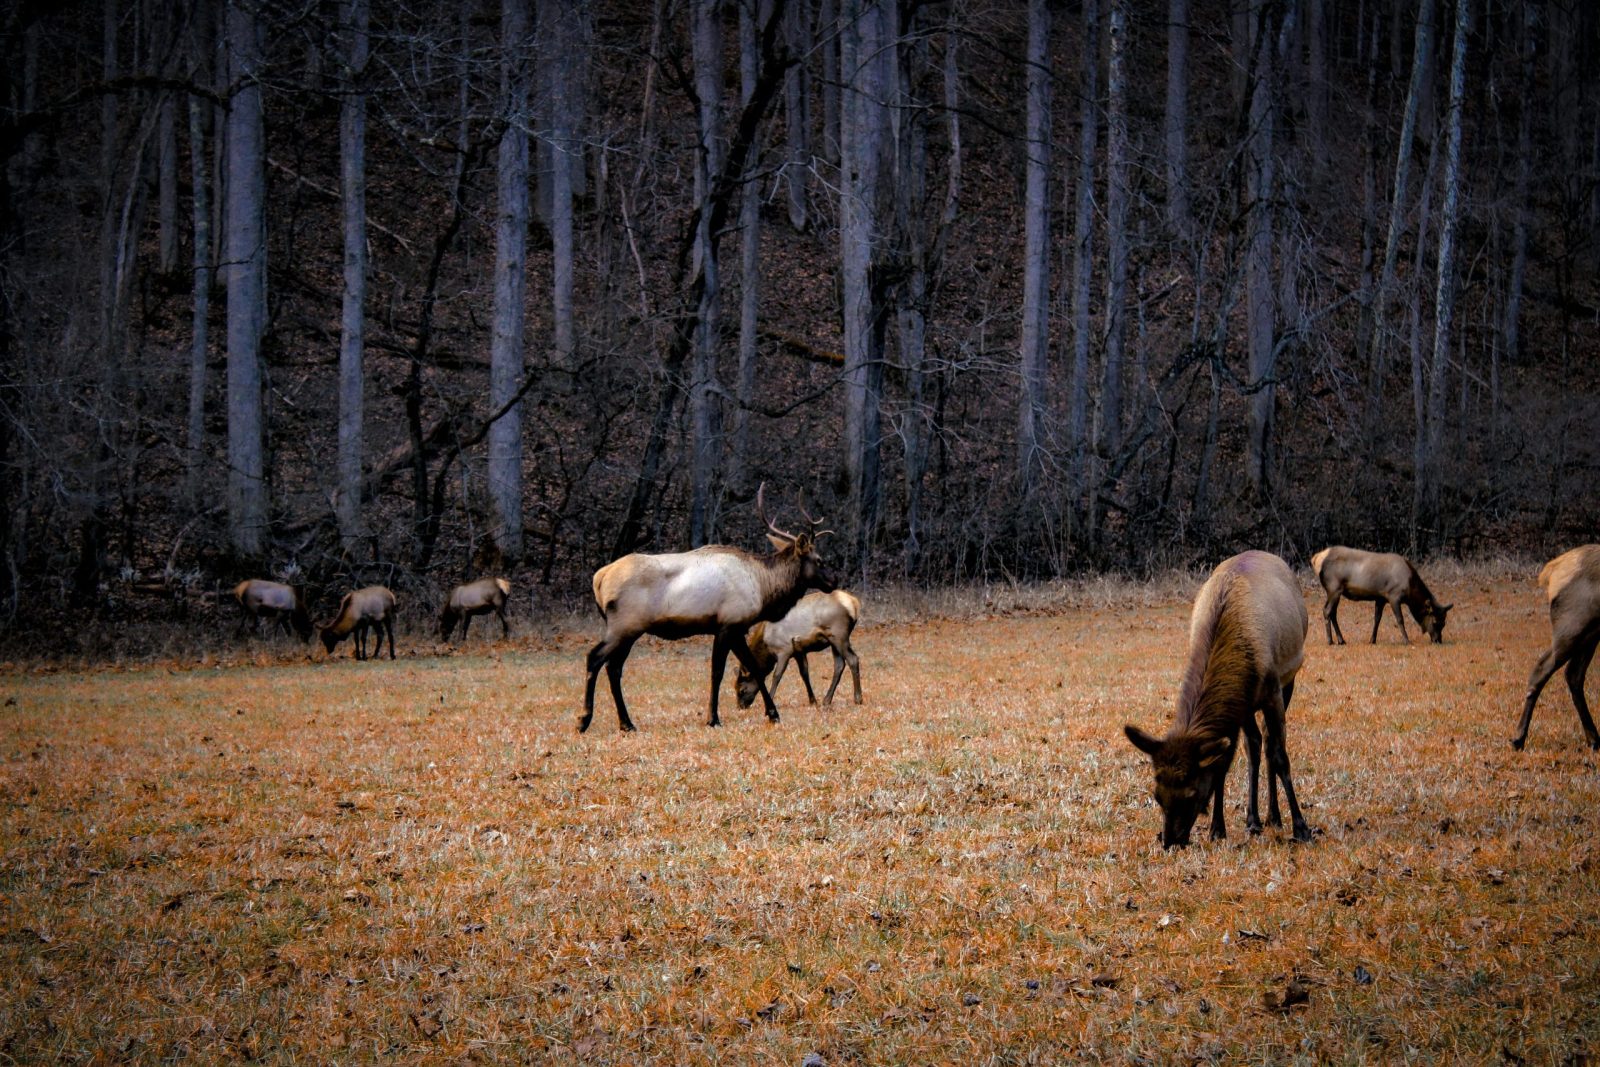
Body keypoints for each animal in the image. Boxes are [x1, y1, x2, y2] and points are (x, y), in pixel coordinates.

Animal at [580, 485, 835, 733]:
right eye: (819, 560)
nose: (833, 582)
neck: (763, 587)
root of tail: (599, 578)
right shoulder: (728, 625)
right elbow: (718, 672)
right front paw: (714, 719)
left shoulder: (736, 629)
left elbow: (751, 666)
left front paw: (772, 714)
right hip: (625, 626)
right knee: (595, 658)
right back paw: (584, 719)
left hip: (629, 630)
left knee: (613, 668)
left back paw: (626, 723)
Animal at [1124, 550, 1313, 848]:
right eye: (1157, 795)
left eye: (1190, 793)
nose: (1170, 841)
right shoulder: (1238, 703)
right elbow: (1224, 761)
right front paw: (1217, 828)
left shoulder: (1272, 690)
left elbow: (1281, 756)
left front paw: (1301, 826)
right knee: (1254, 744)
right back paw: (1254, 819)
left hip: (1289, 677)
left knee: (1269, 743)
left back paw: (1273, 816)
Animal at [1310, 546, 1452, 645]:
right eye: (1435, 621)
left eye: (1444, 623)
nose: (1438, 640)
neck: (1410, 588)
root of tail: (1317, 559)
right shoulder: (1393, 595)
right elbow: (1400, 619)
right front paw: (1407, 640)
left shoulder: (1380, 598)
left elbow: (1377, 618)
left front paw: (1372, 640)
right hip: (1334, 588)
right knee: (1327, 610)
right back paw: (1330, 641)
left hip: (1336, 591)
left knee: (1333, 613)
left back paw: (1341, 640)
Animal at [1511, 545, 1600, 751]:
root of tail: (1550, 571)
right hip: (1572, 627)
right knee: (1542, 668)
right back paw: (1518, 738)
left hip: (1590, 633)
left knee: (1573, 674)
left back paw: (1594, 739)